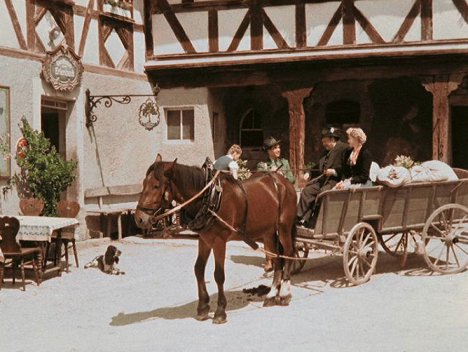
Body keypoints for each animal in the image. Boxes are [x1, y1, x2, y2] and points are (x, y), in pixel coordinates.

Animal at [134, 155, 296, 324]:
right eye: (144, 183)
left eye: (156, 186)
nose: (139, 218)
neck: (209, 199)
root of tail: (282, 181)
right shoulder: (204, 239)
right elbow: (198, 269)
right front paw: (203, 307)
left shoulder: (219, 240)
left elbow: (219, 275)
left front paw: (220, 311)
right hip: (268, 232)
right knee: (278, 258)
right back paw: (271, 295)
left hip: (284, 227)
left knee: (289, 253)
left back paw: (284, 294)